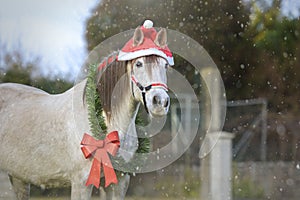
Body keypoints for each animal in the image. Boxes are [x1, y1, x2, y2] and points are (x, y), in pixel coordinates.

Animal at [0, 27, 171, 200]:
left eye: (165, 65)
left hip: (18, 179)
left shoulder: (120, 182)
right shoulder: (81, 182)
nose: (160, 102)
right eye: (138, 63)